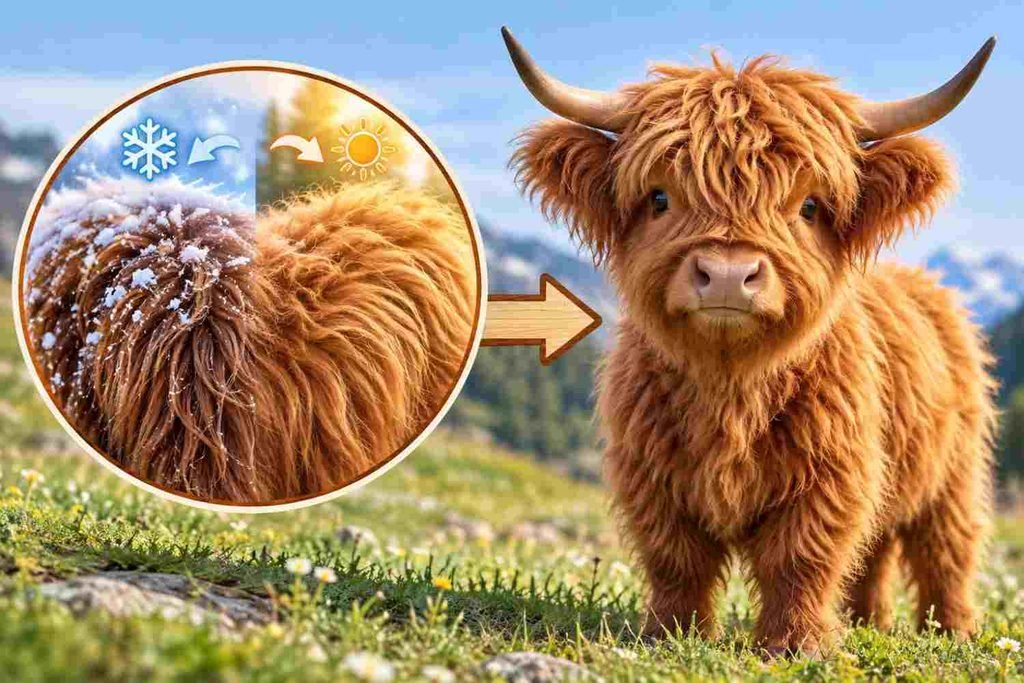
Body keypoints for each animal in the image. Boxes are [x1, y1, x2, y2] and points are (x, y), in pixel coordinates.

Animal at [504, 27, 997, 655]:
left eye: (808, 205)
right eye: (660, 198)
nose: (727, 274)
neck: (730, 387)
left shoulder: (831, 475)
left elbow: (801, 559)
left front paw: (796, 644)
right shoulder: (652, 474)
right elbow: (677, 560)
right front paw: (672, 634)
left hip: (953, 476)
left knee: (946, 551)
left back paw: (954, 632)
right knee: (876, 555)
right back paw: (869, 623)